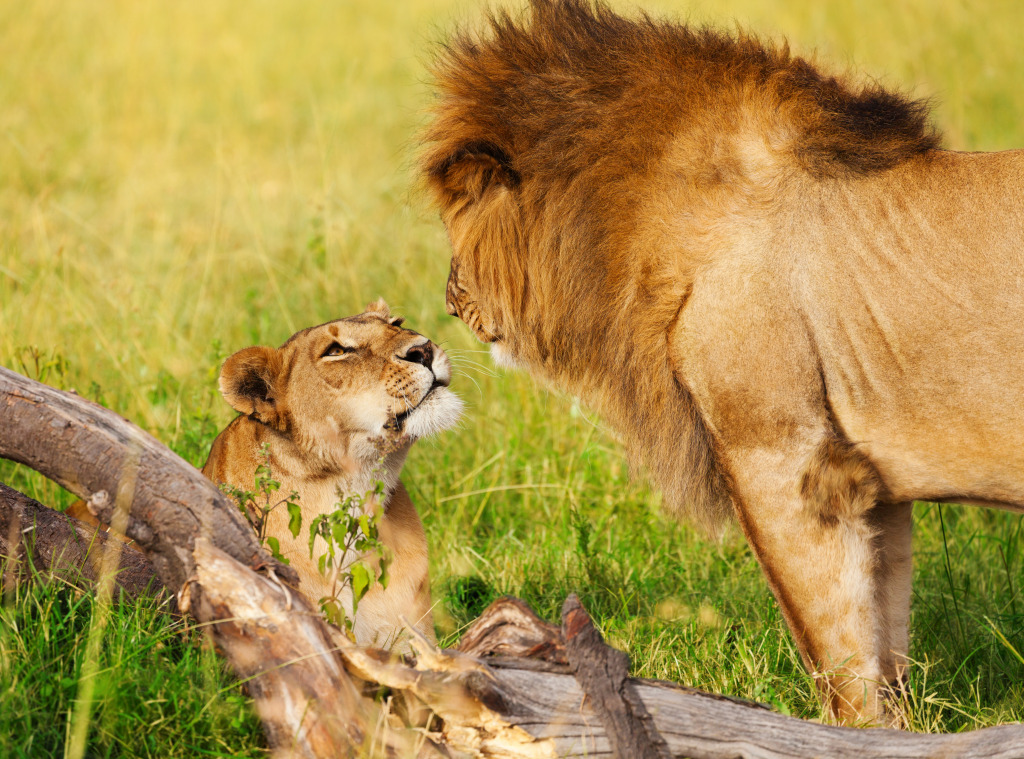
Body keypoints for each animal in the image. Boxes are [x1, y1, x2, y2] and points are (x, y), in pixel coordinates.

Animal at [421, 0, 1024, 721]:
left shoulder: (788, 460)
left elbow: (837, 653)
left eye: (458, 213)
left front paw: (846, 731)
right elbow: (886, 640)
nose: (450, 296)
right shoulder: (868, 482)